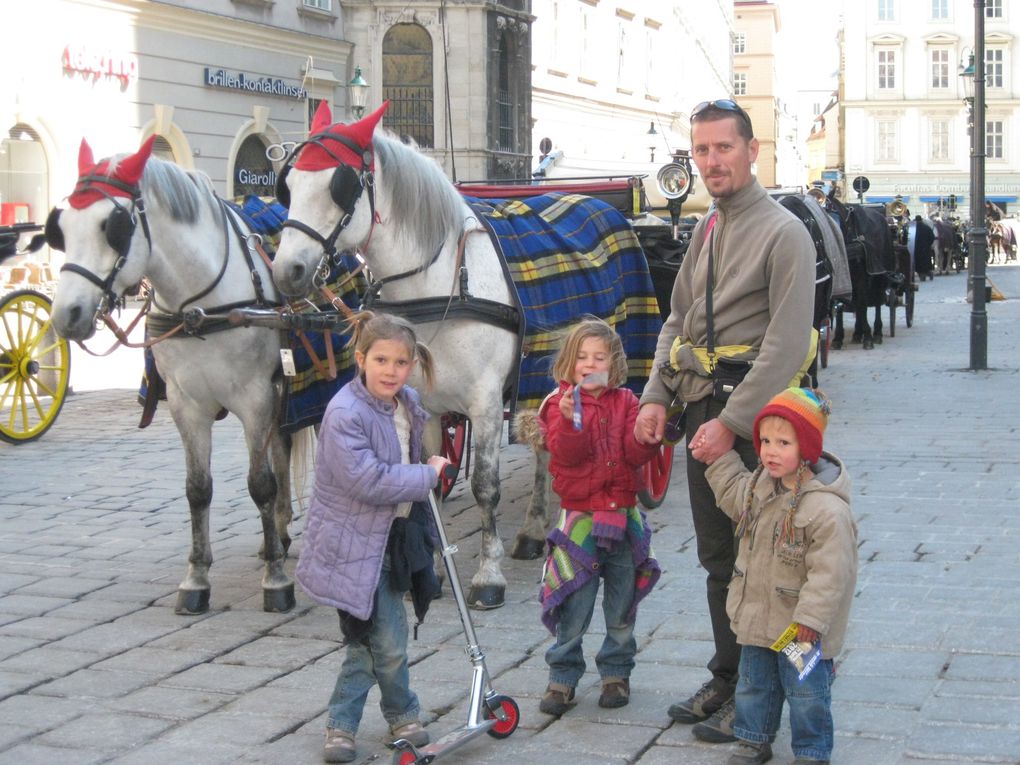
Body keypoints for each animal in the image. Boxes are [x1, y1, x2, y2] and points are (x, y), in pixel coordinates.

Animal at [49, 137, 295, 616]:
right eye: (62, 227)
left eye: (114, 226)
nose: (66, 315)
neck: (201, 306)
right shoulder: (187, 404)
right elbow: (198, 489)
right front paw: (196, 578)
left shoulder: (255, 397)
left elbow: (260, 484)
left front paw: (275, 581)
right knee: (283, 446)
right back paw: (279, 533)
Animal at [824, 197, 897, 352]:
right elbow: (841, 304)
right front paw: (838, 338)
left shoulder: (862, 278)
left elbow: (863, 304)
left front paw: (868, 337)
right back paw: (858, 333)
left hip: (879, 277)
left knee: (876, 301)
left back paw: (877, 332)